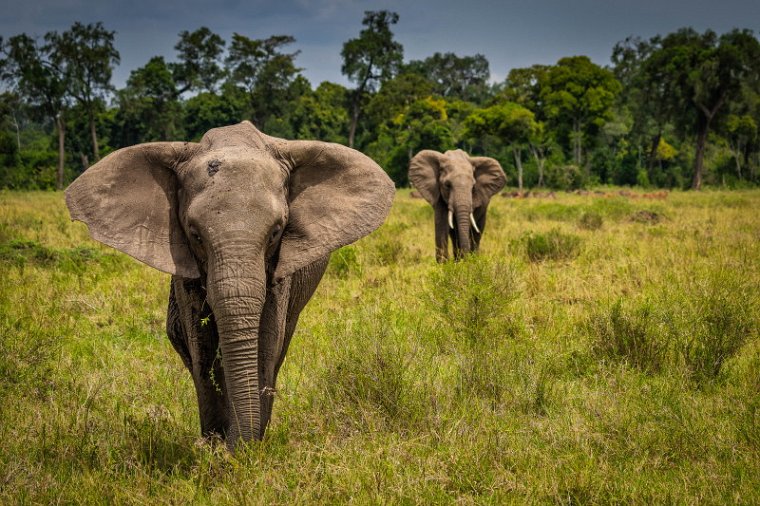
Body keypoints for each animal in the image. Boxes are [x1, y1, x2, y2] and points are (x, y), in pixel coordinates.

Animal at [66, 121, 394, 450]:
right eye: (195, 234)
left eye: (276, 232)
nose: (234, 446)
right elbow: (201, 344)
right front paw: (214, 448)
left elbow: (267, 339)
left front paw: (248, 449)